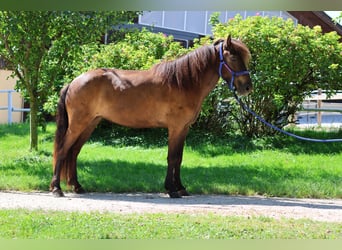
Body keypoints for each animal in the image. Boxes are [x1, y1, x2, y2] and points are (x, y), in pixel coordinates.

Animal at [49, 35, 251, 199]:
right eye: (234, 57)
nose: (247, 87)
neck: (184, 82)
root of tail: (74, 82)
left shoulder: (184, 129)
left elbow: (179, 158)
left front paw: (181, 188)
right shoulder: (175, 128)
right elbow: (172, 157)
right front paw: (172, 190)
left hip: (90, 123)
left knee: (74, 151)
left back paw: (77, 186)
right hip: (78, 124)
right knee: (63, 150)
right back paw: (57, 188)